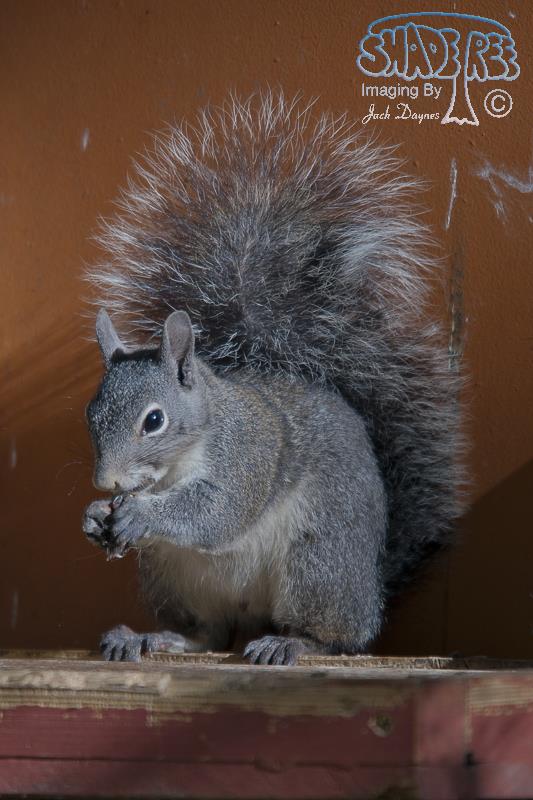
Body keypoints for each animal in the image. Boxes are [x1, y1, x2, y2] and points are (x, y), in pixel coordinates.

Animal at [82, 93, 464, 665]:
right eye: (91, 416)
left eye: (154, 421)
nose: (106, 482)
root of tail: (373, 588)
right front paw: (93, 515)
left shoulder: (249, 455)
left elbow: (215, 511)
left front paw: (140, 516)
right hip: (175, 579)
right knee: (208, 634)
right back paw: (151, 637)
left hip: (317, 564)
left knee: (337, 639)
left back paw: (292, 644)